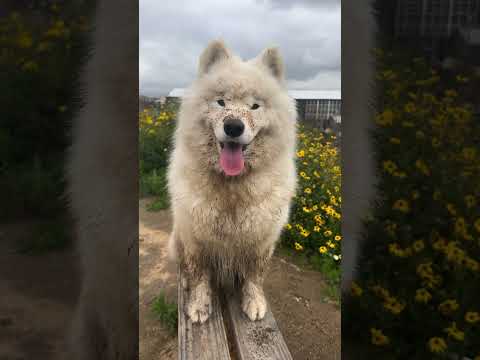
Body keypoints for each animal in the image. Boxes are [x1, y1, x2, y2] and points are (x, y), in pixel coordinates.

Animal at [168, 40, 296, 322]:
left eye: (255, 106)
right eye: (221, 102)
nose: (234, 127)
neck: (232, 188)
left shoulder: (262, 241)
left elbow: (255, 276)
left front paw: (254, 302)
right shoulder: (195, 239)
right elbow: (199, 274)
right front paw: (199, 306)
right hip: (177, 237)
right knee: (183, 268)